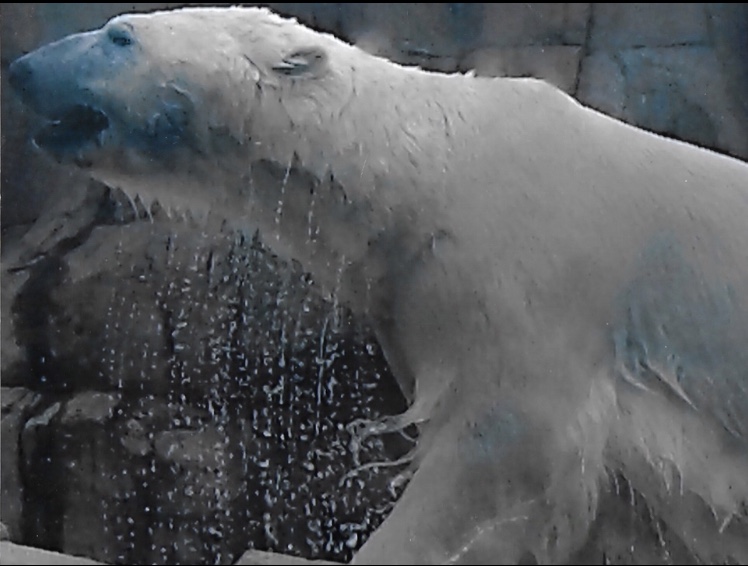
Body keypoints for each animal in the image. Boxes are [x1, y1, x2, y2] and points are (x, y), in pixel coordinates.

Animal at [9, 6, 748, 564]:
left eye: (120, 35)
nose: (21, 68)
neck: (433, 171)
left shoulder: (534, 284)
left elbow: (507, 443)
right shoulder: (410, 292)